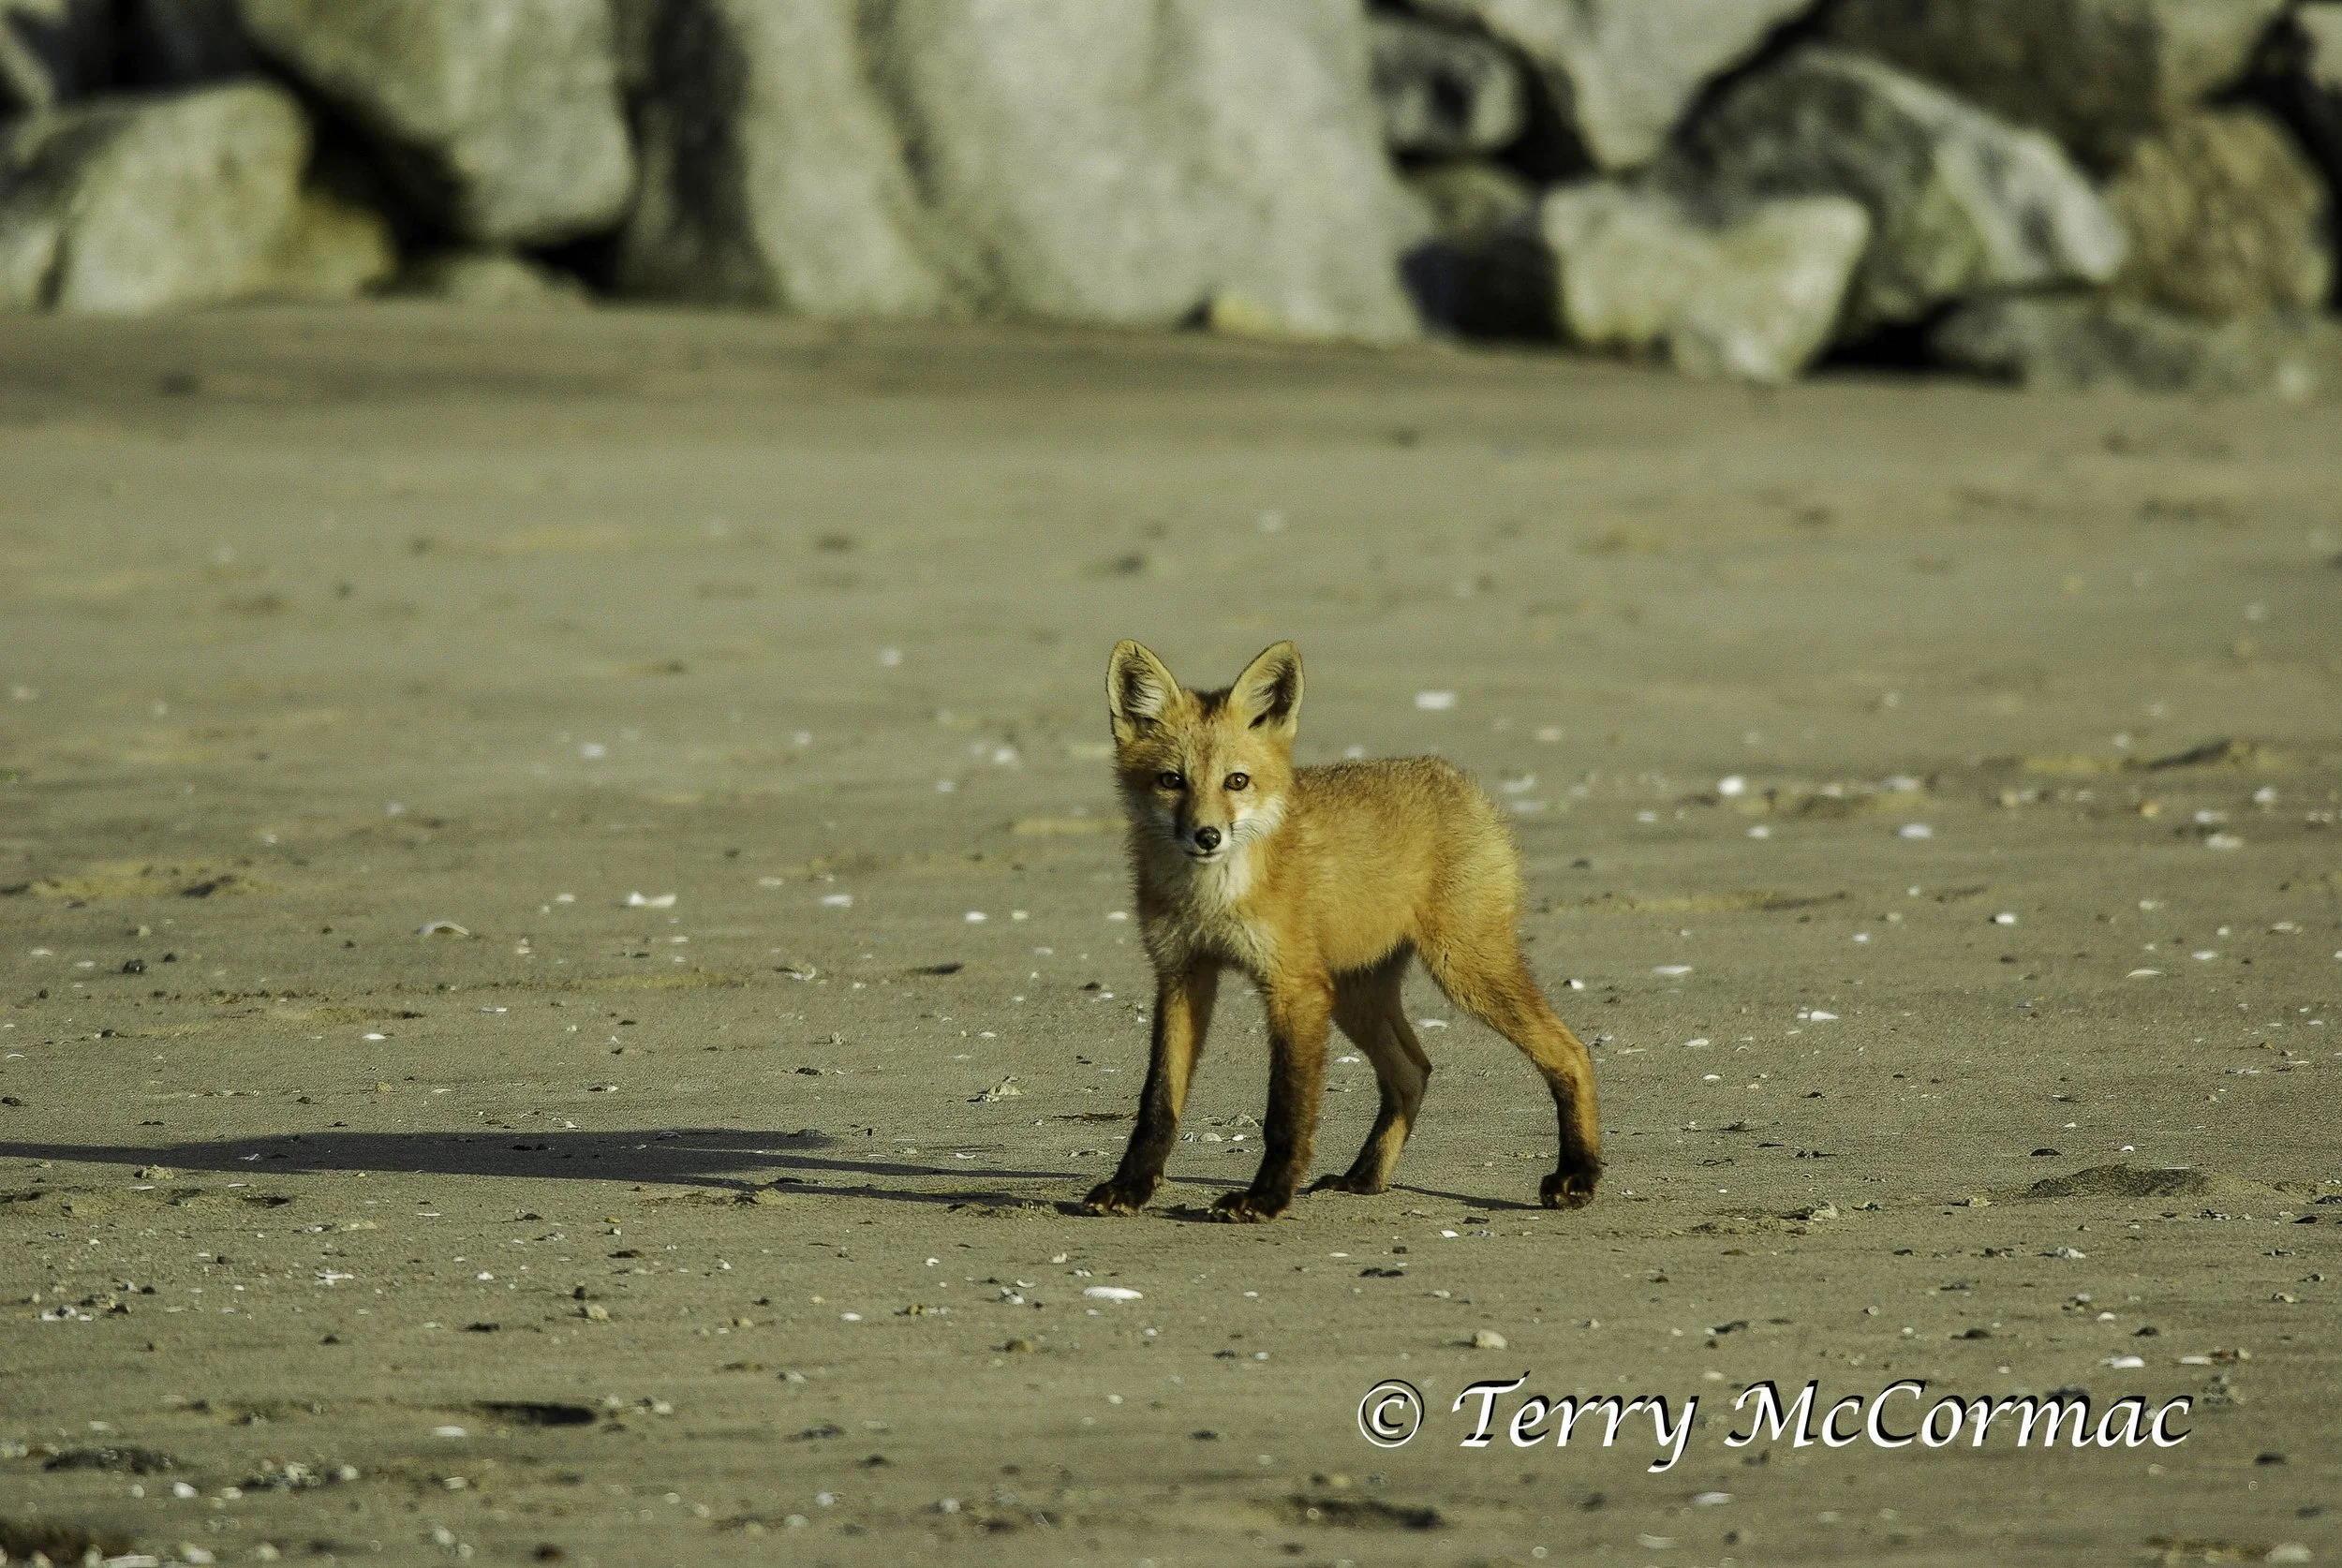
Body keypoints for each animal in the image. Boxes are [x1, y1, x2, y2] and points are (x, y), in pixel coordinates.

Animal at [1078, 638, 1603, 1223]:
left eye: (1236, 781)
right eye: (1172, 780)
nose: (1207, 835)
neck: (1213, 897)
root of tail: (1452, 776)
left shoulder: (1295, 987)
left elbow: (1286, 1111)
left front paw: (1265, 1197)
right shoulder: (1181, 974)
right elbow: (1158, 1103)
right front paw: (1130, 1187)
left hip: (1462, 970)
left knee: (1572, 1053)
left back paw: (1579, 1174)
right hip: (1358, 996)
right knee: (1412, 1072)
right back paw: (1365, 1178)